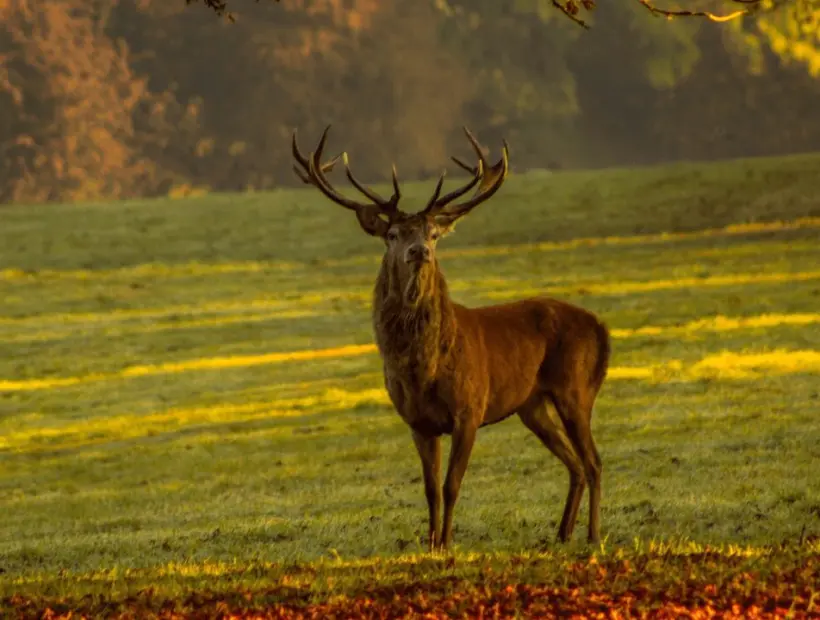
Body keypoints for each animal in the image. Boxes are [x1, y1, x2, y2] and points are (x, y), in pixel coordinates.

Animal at [292, 126, 610, 551]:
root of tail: (601, 327)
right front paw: (430, 544)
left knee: (593, 460)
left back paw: (592, 534)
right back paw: (562, 533)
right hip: (532, 405)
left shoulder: (469, 409)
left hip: (575, 388)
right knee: (574, 462)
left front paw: (446, 543)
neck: (424, 369)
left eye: (432, 233)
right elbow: (430, 489)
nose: (419, 251)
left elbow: (452, 484)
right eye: (392, 233)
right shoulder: (417, 421)